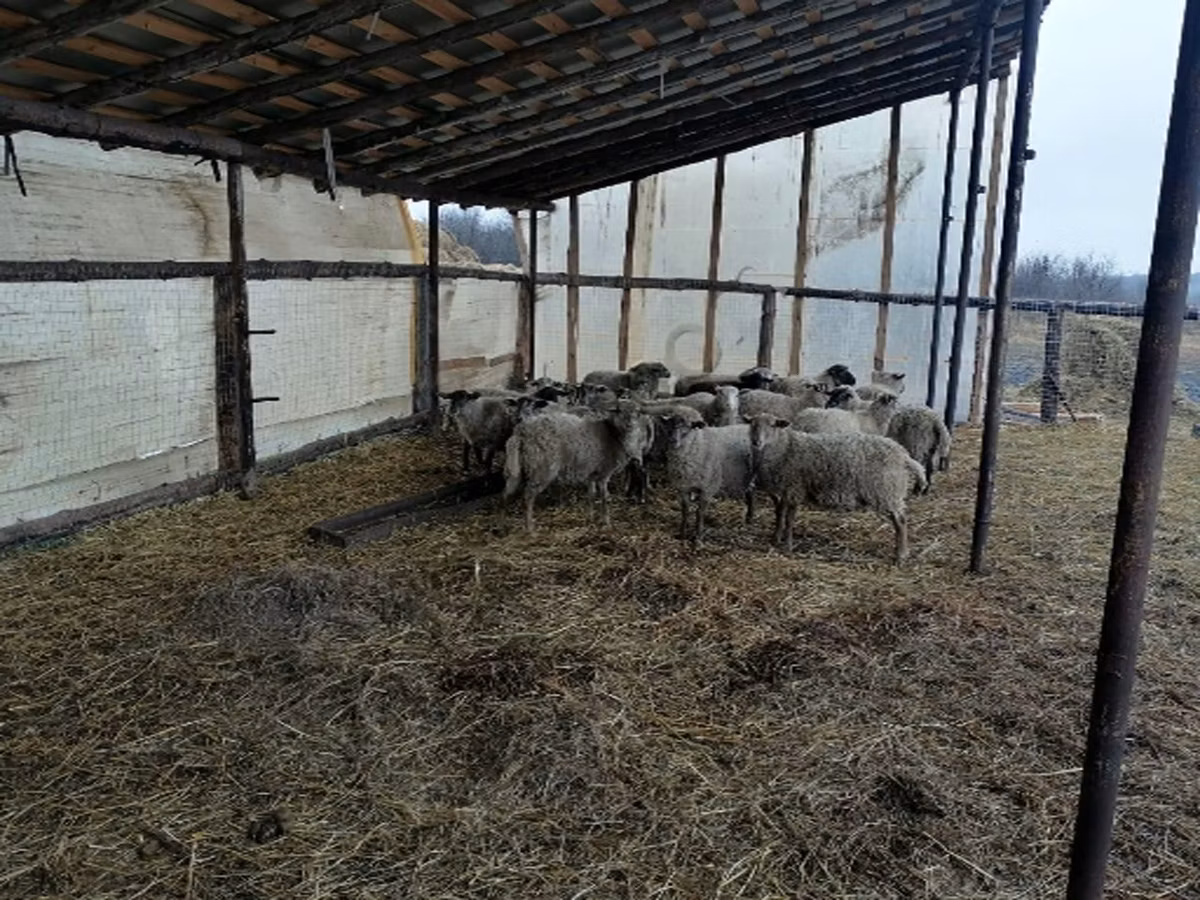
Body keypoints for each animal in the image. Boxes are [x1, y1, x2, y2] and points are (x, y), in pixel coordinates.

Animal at [502, 401, 653, 532]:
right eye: (619, 411)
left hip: (521, 466)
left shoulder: (592, 472)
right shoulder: (604, 473)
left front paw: (590, 517)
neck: (613, 434)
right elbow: (605, 497)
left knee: (510, 492)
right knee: (528, 495)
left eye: (637, 413)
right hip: (541, 466)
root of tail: (521, 432)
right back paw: (530, 529)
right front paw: (606, 522)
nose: (630, 424)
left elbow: (591, 495)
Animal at [659, 416, 757, 546]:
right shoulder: (683, 487)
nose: (673, 440)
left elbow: (700, 513)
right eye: (669, 425)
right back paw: (749, 518)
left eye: (688, 427)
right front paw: (682, 534)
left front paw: (698, 537)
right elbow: (685, 510)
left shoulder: (707, 488)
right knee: (750, 491)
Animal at [745, 412, 926, 564]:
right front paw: (775, 538)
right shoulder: (784, 490)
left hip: (887, 490)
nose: (756, 441)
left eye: (772, 425)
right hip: (889, 491)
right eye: (752, 424)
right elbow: (780, 515)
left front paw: (787, 546)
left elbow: (789, 519)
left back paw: (901, 556)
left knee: (900, 521)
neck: (786, 447)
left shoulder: (794, 488)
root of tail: (903, 455)